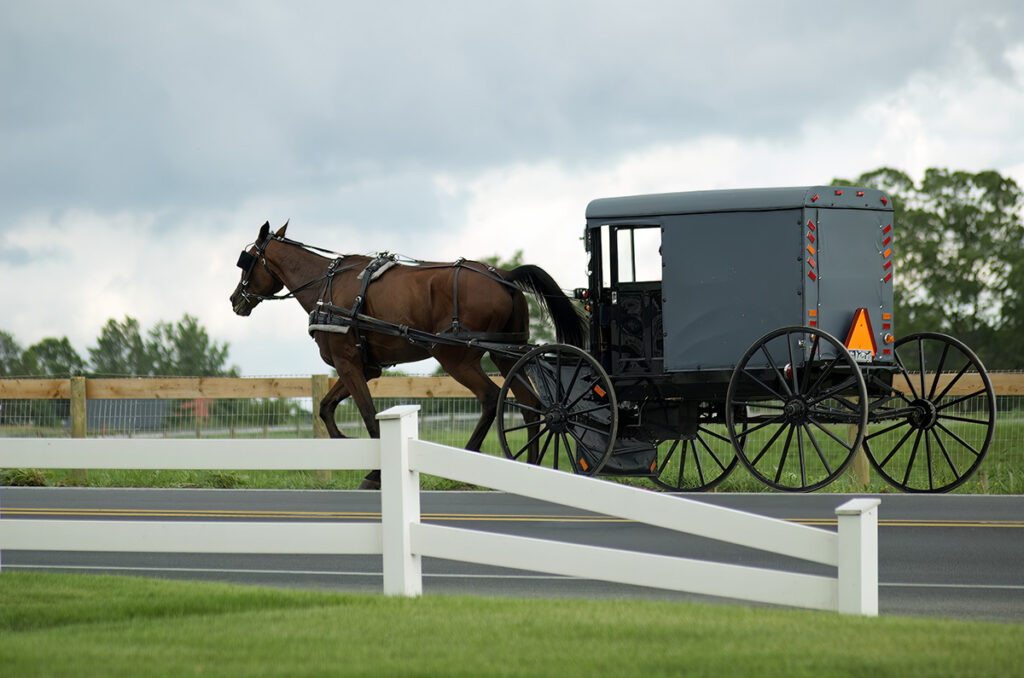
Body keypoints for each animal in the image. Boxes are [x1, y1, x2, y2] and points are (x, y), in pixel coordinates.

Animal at [230, 223, 585, 489]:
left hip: (457, 358)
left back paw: (469, 459)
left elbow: (368, 415)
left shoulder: (348, 364)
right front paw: (343, 441)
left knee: (490, 397)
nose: (235, 299)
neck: (327, 288)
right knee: (530, 403)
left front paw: (375, 473)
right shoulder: (365, 367)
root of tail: (504, 275)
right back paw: (531, 465)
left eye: (247, 259)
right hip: (507, 354)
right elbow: (326, 407)